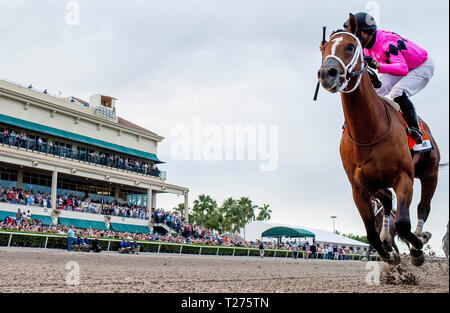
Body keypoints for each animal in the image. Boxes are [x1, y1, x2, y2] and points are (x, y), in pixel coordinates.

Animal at [318, 13, 442, 264]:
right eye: (323, 48)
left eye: (350, 46)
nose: (327, 74)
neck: (369, 131)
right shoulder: (358, 188)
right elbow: (371, 234)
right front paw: (389, 254)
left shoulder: (404, 177)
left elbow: (403, 224)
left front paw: (416, 249)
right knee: (386, 200)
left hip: (430, 172)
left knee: (423, 208)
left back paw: (420, 236)